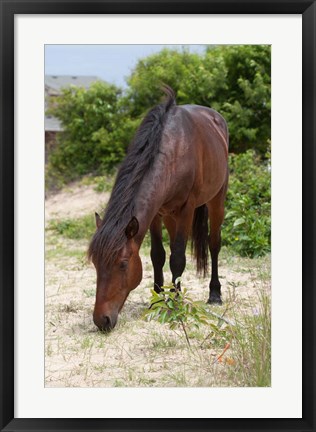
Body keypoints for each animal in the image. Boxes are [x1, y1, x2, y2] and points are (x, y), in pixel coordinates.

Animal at [87, 87, 228, 330]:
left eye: (123, 264)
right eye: (95, 264)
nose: (102, 320)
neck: (174, 150)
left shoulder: (186, 210)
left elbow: (178, 258)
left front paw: (176, 304)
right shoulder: (155, 214)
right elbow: (158, 255)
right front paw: (158, 300)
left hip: (217, 198)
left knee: (214, 244)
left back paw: (214, 294)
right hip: (170, 215)